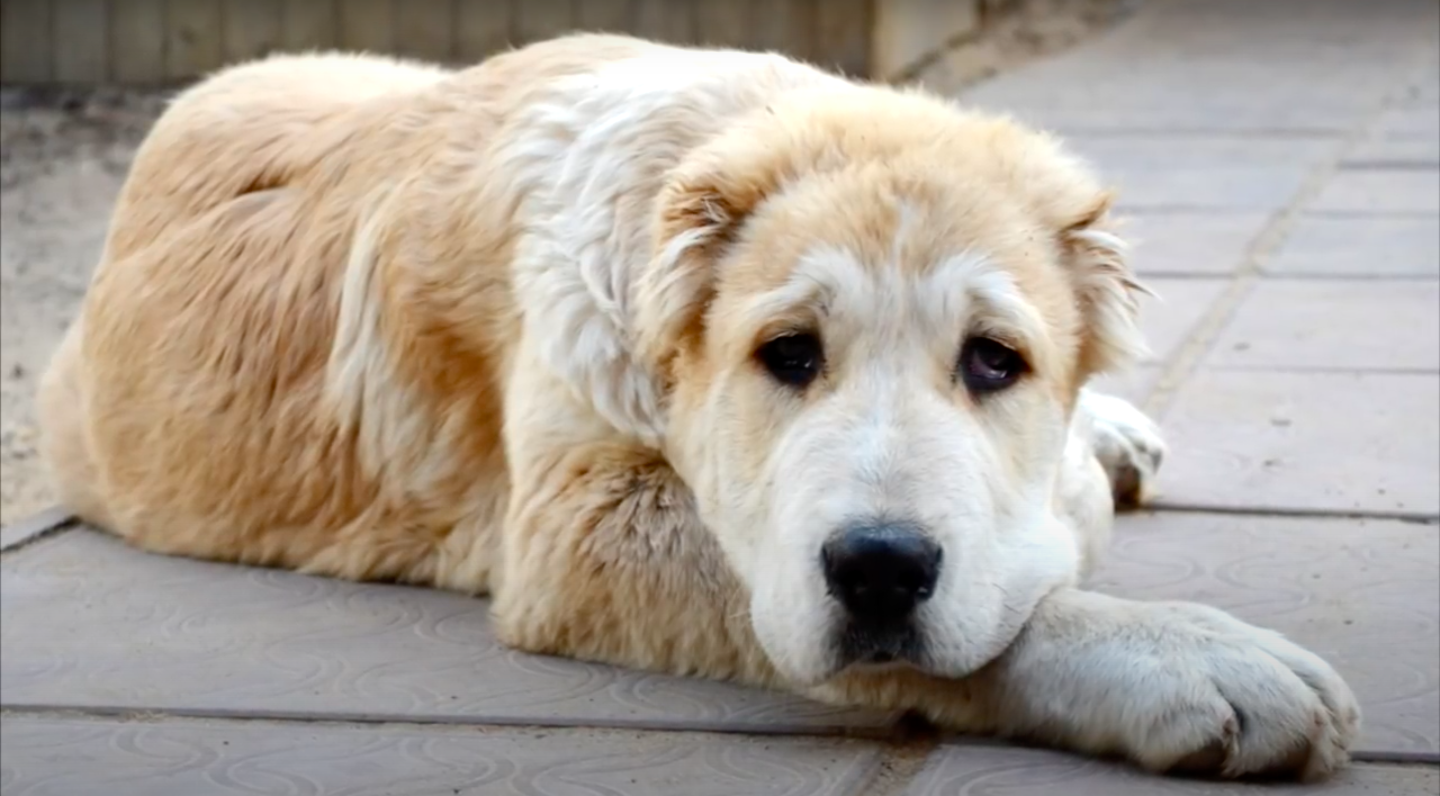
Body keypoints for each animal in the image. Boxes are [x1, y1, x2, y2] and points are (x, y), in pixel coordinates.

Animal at [36, 34, 1359, 777]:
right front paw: (1186, 655)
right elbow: (994, 603)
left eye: (994, 361)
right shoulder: (576, 527)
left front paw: (1089, 458)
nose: (880, 568)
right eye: (787, 353)